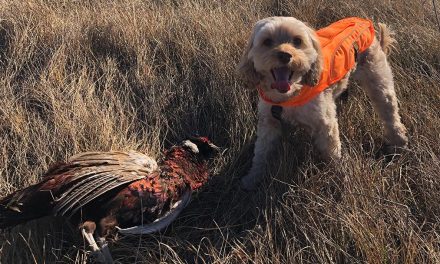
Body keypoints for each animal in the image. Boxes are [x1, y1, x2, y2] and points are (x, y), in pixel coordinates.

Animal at [239, 17, 408, 190]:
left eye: (297, 41)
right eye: (267, 41)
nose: (285, 55)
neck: (290, 95)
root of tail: (364, 22)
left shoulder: (325, 125)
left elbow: (333, 154)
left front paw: (340, 178)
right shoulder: (268, 123)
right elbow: (261, 153)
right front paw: (252, 178)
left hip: (379, 84)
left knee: (391, 116)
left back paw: (399, 144)